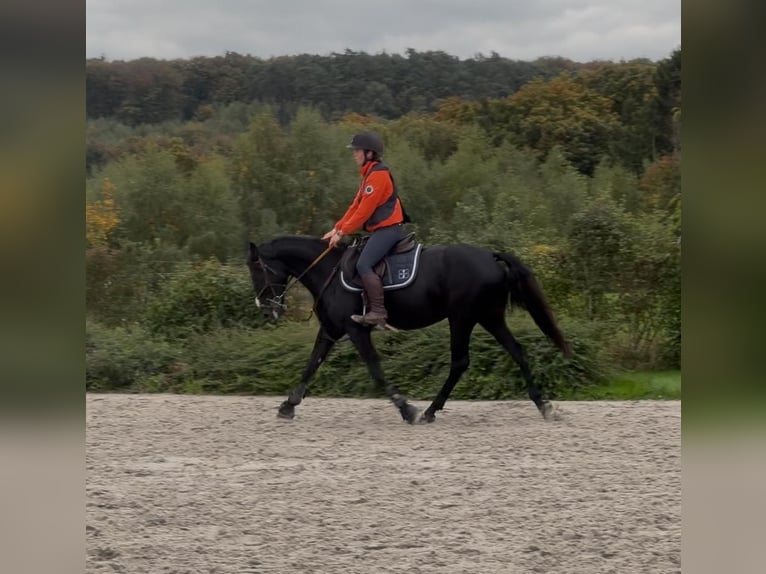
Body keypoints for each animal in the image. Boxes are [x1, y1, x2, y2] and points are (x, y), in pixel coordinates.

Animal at [247, 235, 571, 424]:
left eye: (257, 268)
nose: (265, 307)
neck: (329, 272)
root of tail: (490, 256)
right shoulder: (330, 330)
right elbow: (311, 365)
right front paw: (288, 405)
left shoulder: (356, 330)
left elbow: (375, 369)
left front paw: (407, 409)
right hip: (489, 318)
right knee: (517, 352)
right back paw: (543, 405)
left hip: (462, 318)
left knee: (460, 362)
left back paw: (428, 411)